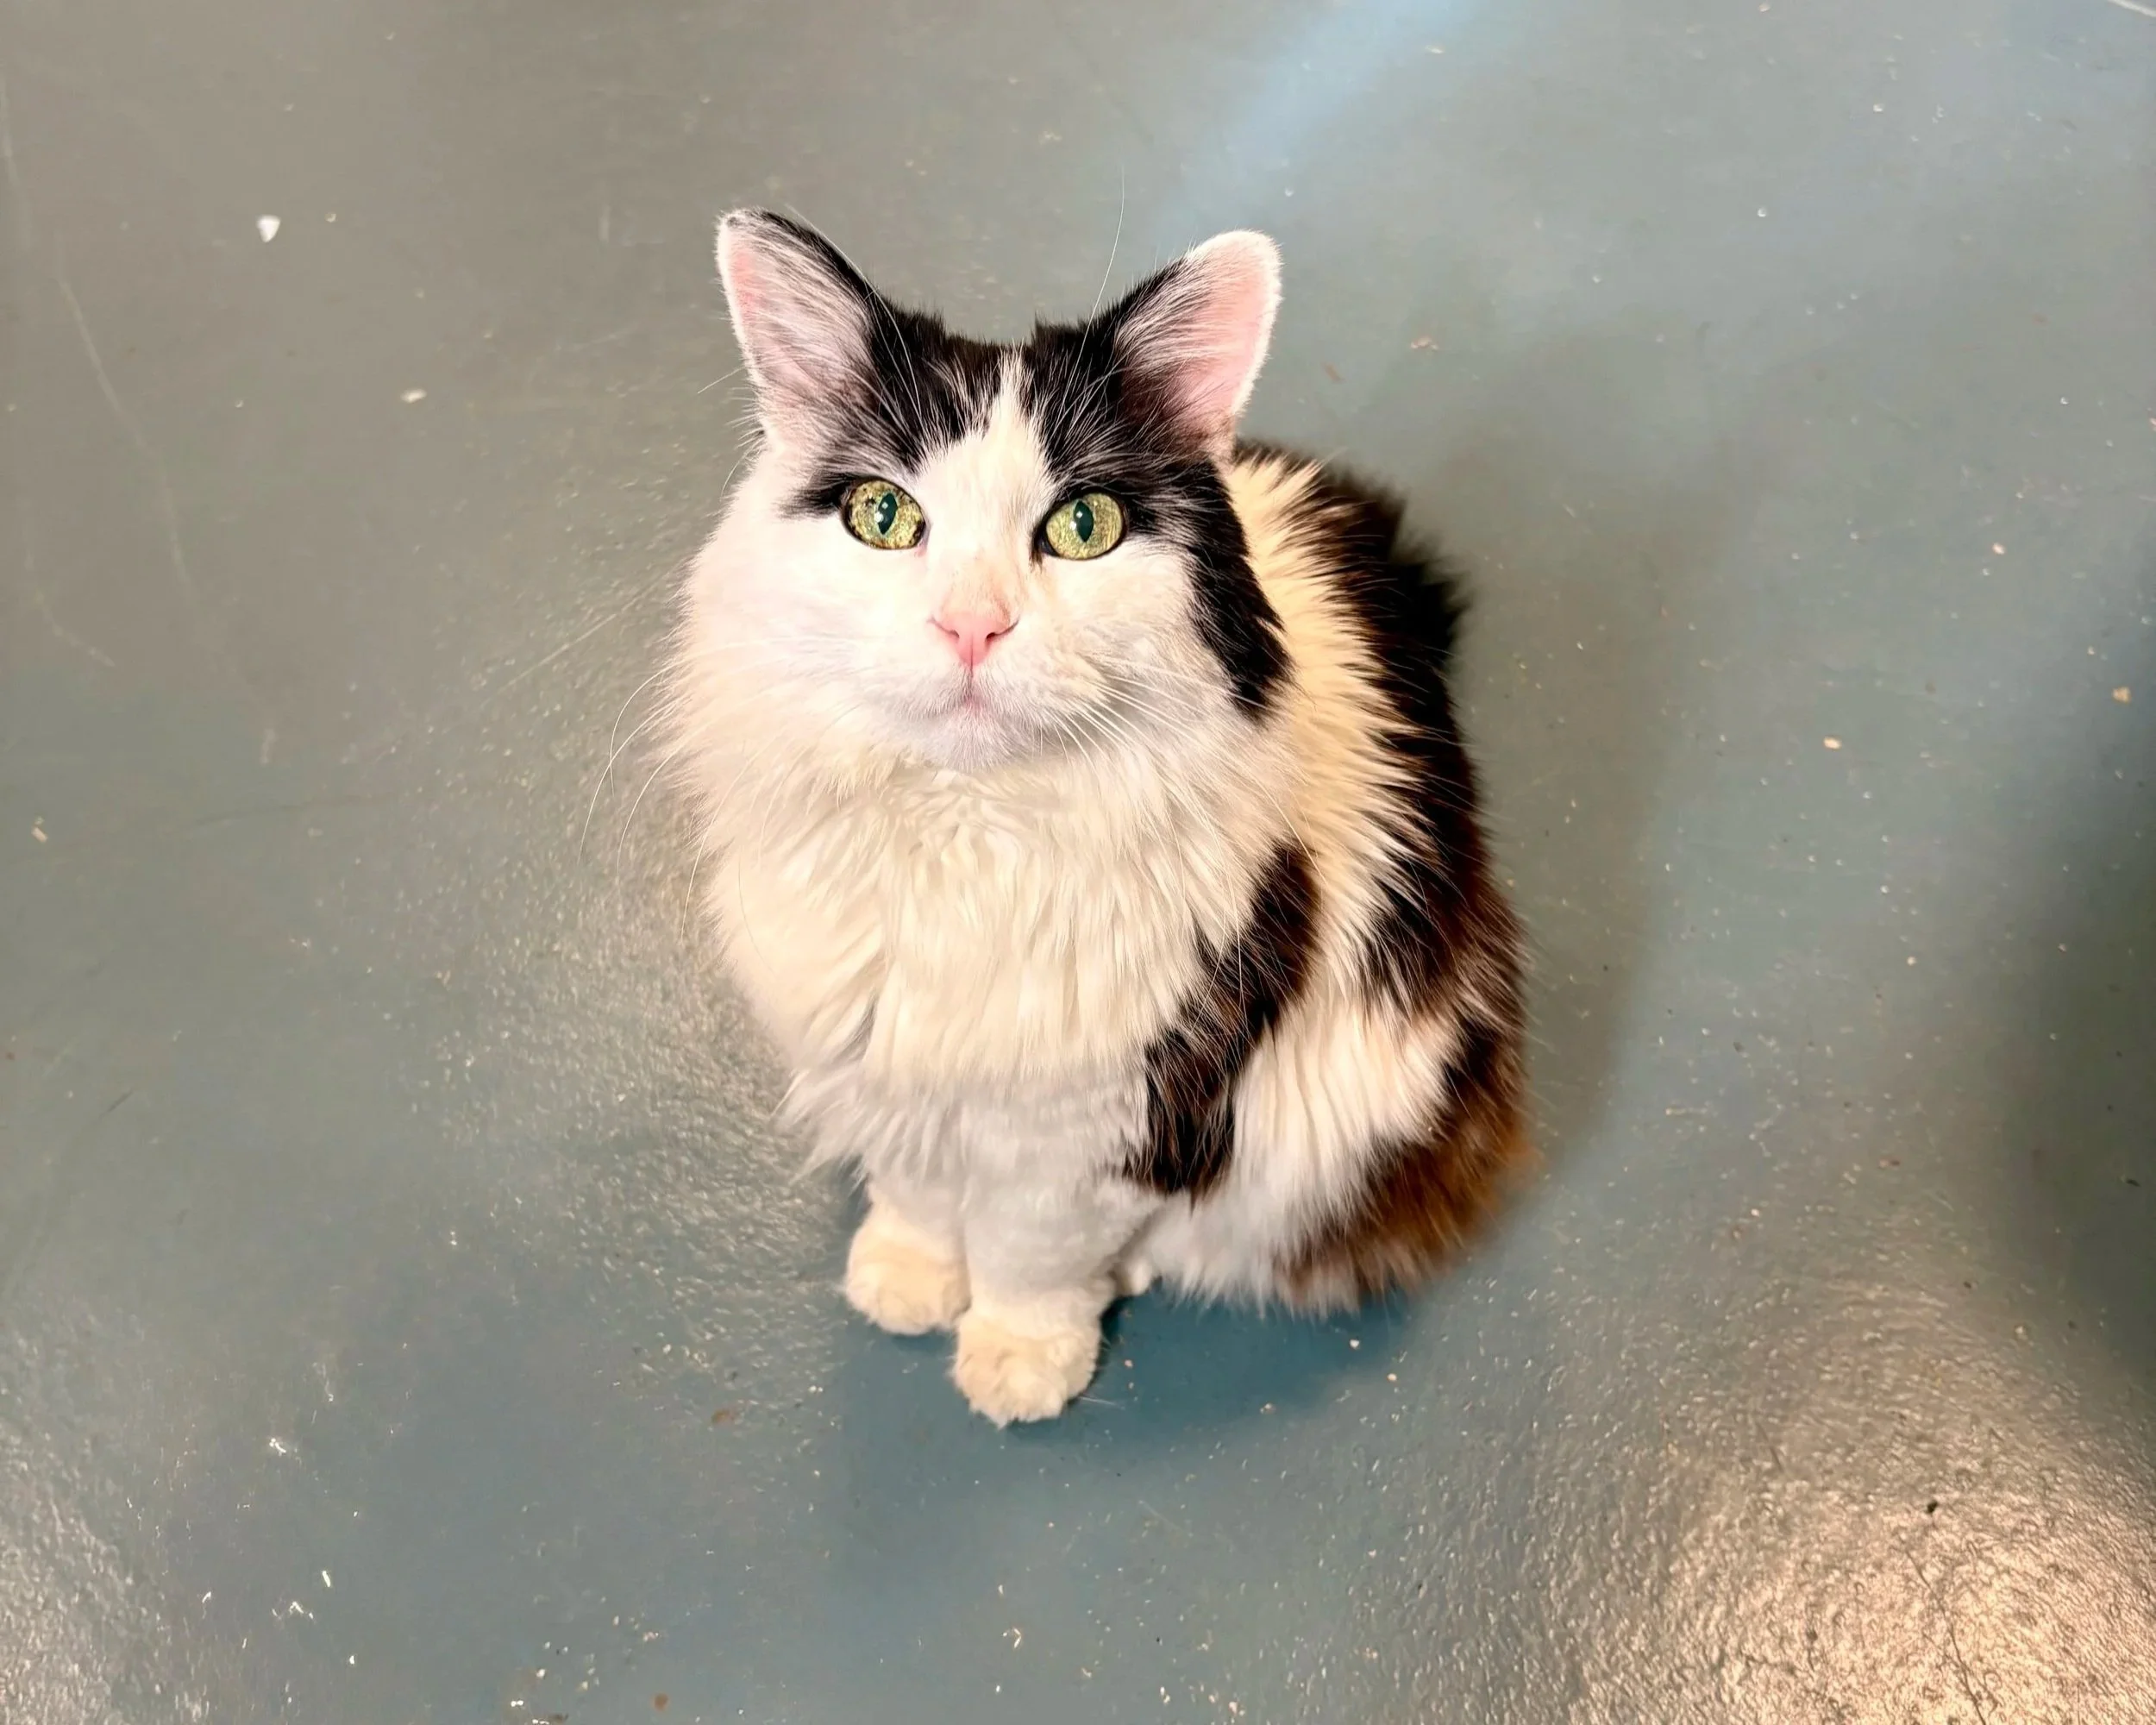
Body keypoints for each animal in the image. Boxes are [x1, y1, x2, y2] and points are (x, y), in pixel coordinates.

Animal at [666, 210, 1529, 1425]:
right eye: (883, 516)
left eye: (1084, 526)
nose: (971, 626)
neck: (963, 844)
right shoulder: (887, 1055)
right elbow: (917, 1181)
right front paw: (909, 1272)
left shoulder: (1109, 1111)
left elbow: (1033, 1247)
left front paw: (1019, 1355)